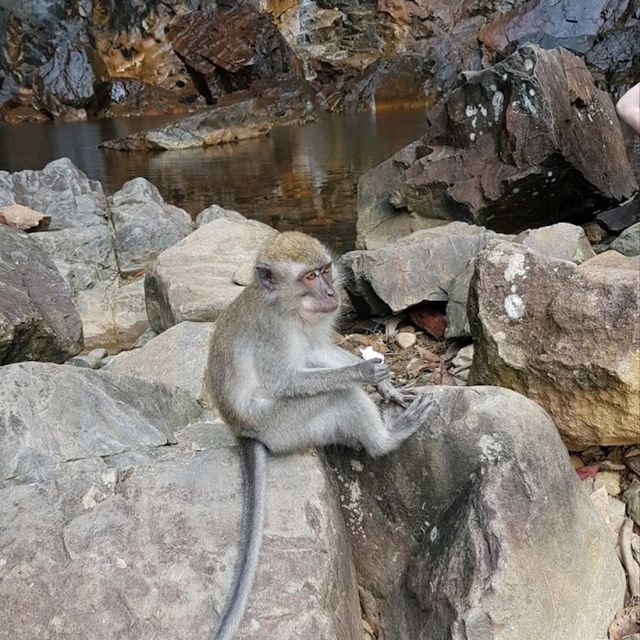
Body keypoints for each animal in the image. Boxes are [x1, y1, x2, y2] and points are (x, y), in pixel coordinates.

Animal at [208, 231, 432, 640]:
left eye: (325, 271)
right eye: (309, 277)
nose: (330, 293)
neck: (286, 307)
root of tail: (242, 430)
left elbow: (317, 351)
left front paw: (387, 385)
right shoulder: (272, 332)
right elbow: (287, 379)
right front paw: (361, 372)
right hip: (283, 426)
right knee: (337, 398)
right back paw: (386, 438)